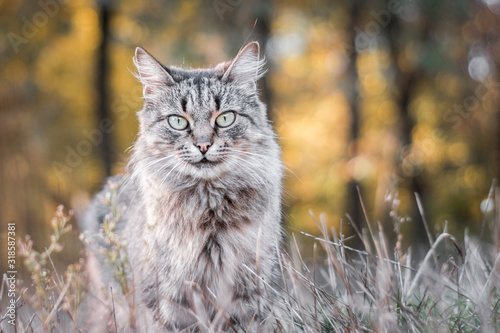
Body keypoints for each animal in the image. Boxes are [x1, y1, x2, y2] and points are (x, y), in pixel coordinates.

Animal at [77, 42, 282, 332]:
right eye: (178, 122)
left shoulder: (248, 297)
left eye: (225, 118)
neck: (209, 210)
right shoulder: (170, 303)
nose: (204, 145)